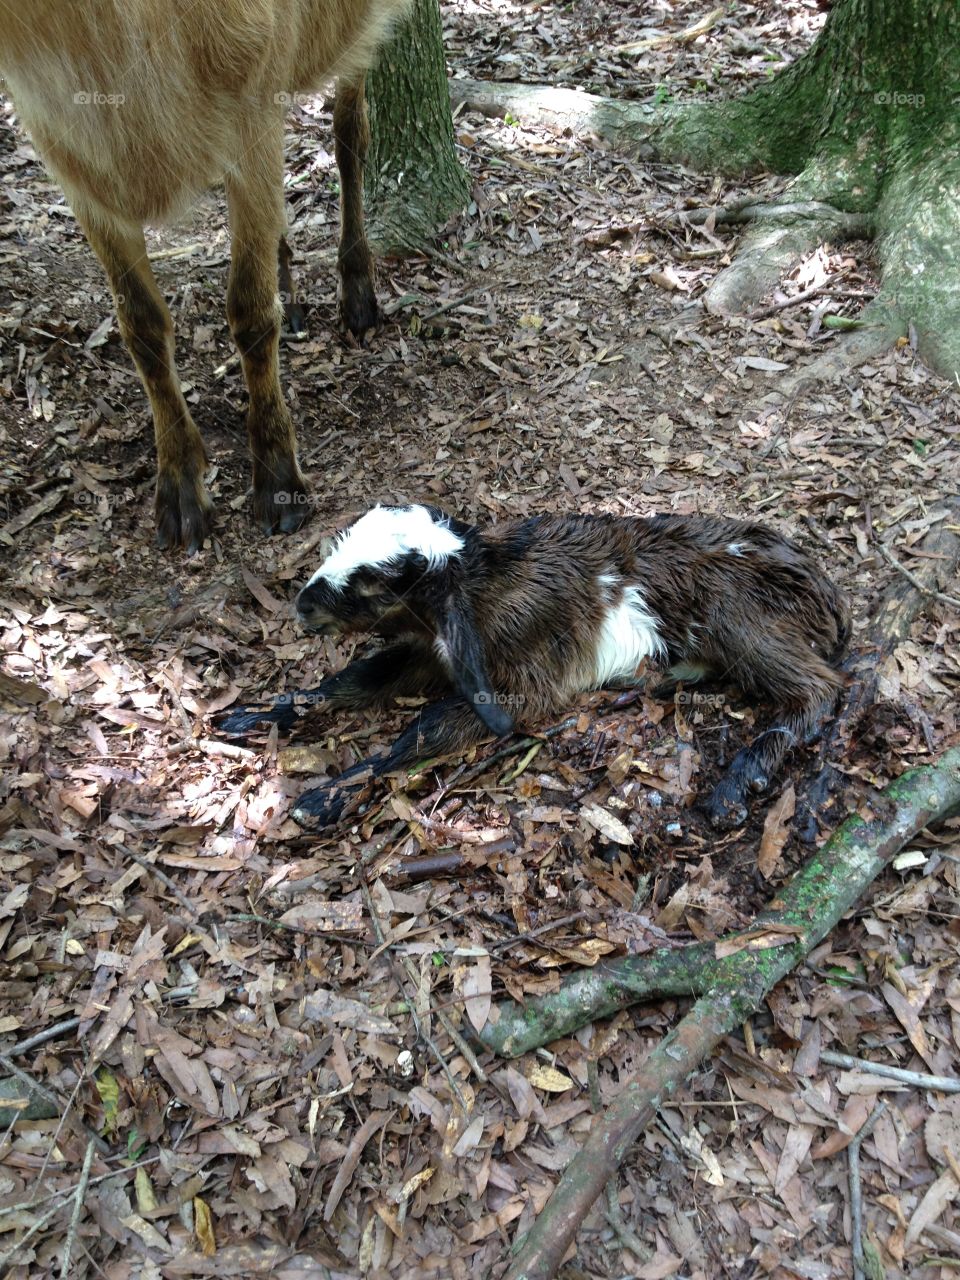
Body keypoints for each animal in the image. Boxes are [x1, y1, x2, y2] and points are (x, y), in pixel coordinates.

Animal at [0, 1, 407, 550]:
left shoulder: (253, 105)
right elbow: (141, 327)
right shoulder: (75, 163)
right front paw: (179, 493)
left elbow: (250, 312)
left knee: (350, 129)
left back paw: (358, 295)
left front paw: (279, 484)